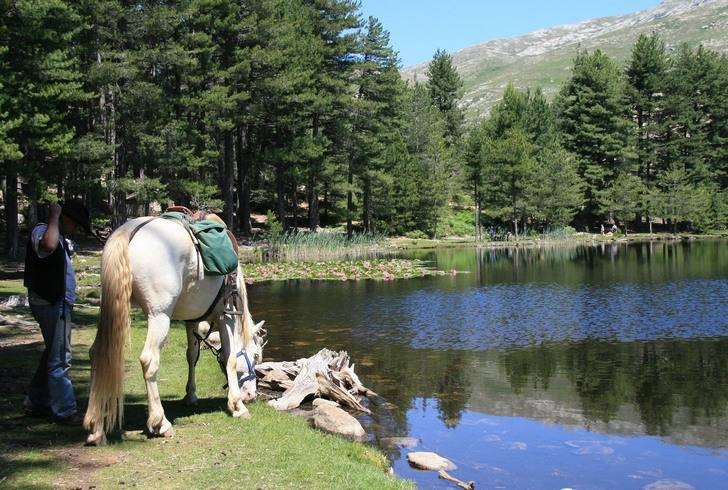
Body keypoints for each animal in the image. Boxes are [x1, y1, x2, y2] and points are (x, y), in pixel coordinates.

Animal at [83, 216, 264, 446]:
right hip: (159, 315)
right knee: (149, 360)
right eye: (256, 356)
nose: (251, 395)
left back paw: (96, 428)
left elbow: (192, 355)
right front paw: (237, 406)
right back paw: (160, 423)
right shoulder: (227, 316)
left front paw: (191, 396)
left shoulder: (191, 320)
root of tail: (130, 232)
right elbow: (230, 358)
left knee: (98, 353)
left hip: (111, 307)